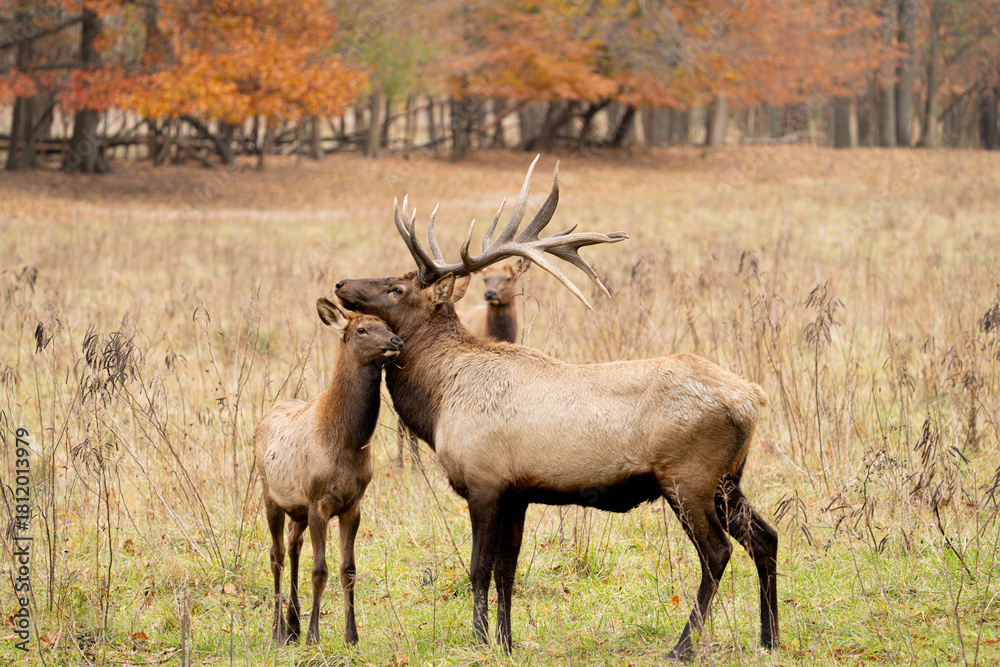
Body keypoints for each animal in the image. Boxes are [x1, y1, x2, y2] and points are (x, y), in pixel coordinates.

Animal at [254, 296, 403, 646]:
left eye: (387, 324)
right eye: (362, 330)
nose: (396, 342)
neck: (348, 442)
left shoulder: (353, 505)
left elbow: (348, 570)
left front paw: (352, 637)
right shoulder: (318, 501)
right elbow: (319, 570)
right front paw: (314, 636)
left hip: (297, 509)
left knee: (293, 547)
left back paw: (292, 625)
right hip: (270, 494)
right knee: (276, 554)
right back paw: (278, 631)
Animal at [333, 157, 778, 662]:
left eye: (395, 288)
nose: (342, 283)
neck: (440, 399)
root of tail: (753, 398)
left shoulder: (484, 481)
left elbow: (478, 567)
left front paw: (480, 640)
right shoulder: (517, 491)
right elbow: (507, 570)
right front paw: (506, 641)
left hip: (689, 476)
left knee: (717, 552)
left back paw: (682, 645)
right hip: (728, 479)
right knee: (765, 537)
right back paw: (769, 637)